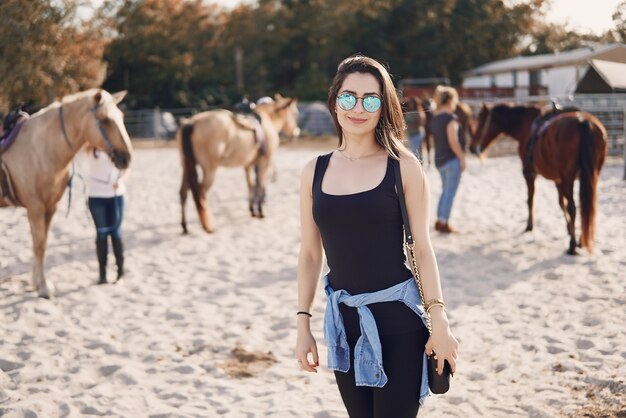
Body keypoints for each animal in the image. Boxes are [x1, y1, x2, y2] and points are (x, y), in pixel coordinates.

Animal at [0, 89, 133, 298]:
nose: (126, 157)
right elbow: (39, 245)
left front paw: (37, 284)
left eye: (121, 116)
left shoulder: (50, 208)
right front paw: (44, 288)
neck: (42, 148)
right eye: (104, 120)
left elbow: (42, 244)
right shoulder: (35, 208)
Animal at [178, 92, 300, 233]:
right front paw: (260, 211)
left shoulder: (248, 165)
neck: (268, 119)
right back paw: (208, 225)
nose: (296, 133)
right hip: (209, 170)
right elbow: (260, 184)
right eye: (295, 113)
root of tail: (191, 122)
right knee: (201, 194)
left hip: (186, 166)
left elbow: (250, 184)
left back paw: (185, 226)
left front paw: (252, 210)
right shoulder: (264, 161)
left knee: (183, 192)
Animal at [468, 103, 604, 255]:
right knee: (586, 206)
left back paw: (572, 246)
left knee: (573, 207)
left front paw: (529, 226)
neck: (525, 125)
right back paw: (581, 240)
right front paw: (569, 229)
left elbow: (530, 200)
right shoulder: (558, 179)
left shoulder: (529, 173)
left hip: (568, 176)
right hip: (591, 176)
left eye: (480, 120)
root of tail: (582, 122)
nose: (472, 147)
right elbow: (560, 203)